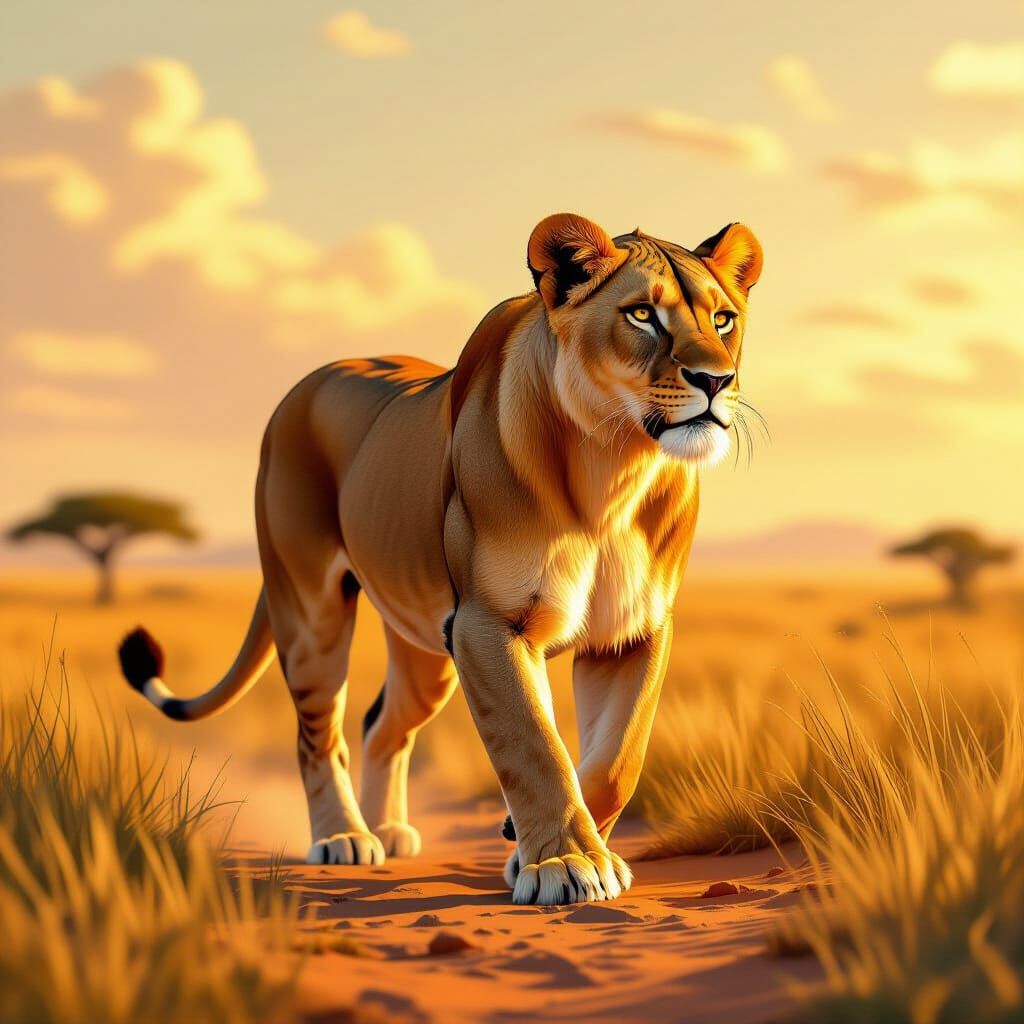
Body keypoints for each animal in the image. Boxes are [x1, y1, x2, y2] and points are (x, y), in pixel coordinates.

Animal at [118, 213, 763, 906]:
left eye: (723, 319)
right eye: (642, 314)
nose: (716, 381)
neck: (613, 467)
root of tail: (302, 386)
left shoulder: (631, 631)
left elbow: (617, 758)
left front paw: (538, 848)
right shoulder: (489, 624)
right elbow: (534, 744)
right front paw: (565, 864)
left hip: (425, 651)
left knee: (382, 725)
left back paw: (390, 829)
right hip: (313, 613)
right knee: (318, 735)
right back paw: (344, 838)